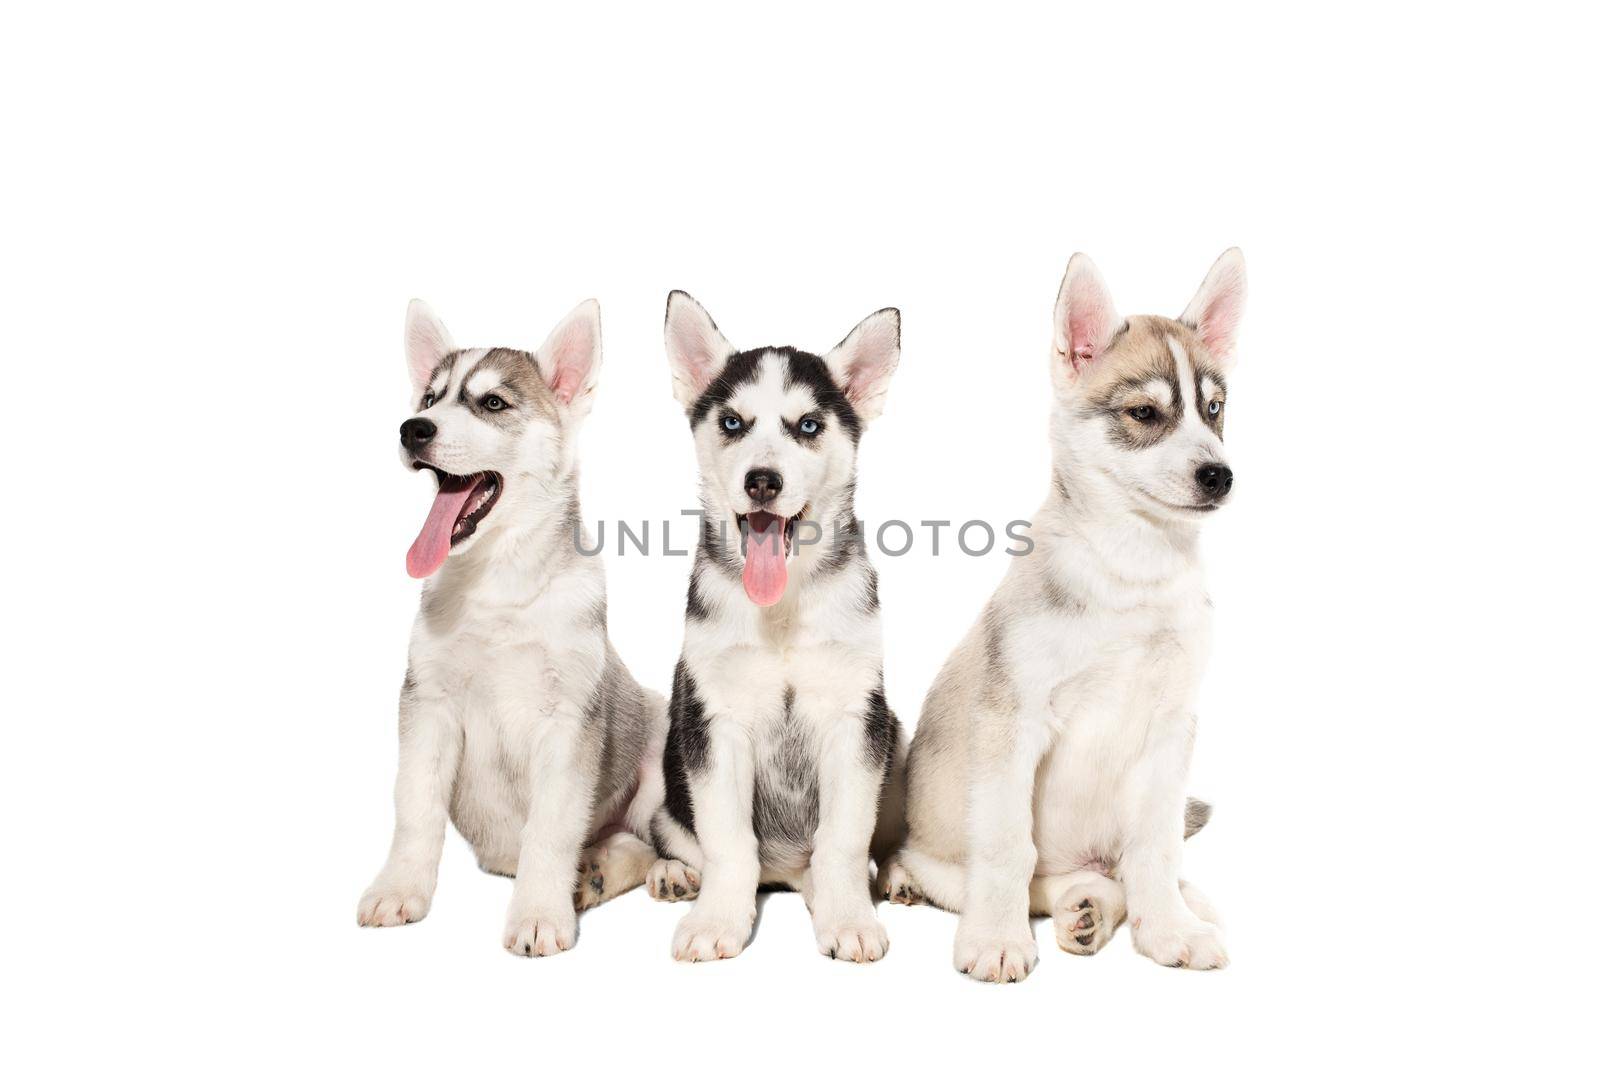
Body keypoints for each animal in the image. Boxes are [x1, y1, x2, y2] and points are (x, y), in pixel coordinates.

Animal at [358, 299, 668, 959]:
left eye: (493, 403)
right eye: (429, 398)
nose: (412, 428)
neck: (496, 586)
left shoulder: (568, 722)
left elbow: (550, 830)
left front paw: (538, 915)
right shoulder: (427, 706)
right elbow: (414, 807)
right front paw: (400, 889)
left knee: (654, 840)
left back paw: (645, 872)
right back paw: (594, 869)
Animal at [646, 292, 902, 966]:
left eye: (808, 426)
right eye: (733, 423)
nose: (763, 480)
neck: (782, 610)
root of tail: (782, 875)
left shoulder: (857, 719)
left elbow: (843, 839)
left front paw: (849, 916)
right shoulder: (713, 721)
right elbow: (728, 842)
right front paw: (716, 919)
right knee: (676, 836)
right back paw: (674, 873)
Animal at [889, 251, 1248, 985]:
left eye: (1215, 410)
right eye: (1145, 412)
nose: (1219, 475)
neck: (1131, 573)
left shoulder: (1171, 732)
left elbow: (1156, 849)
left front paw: (1167, 930)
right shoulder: (1013, 723)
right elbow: (1007, 849)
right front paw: (995, 940)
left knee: (1117, 874)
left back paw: (1105, 909)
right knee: (993, 874)